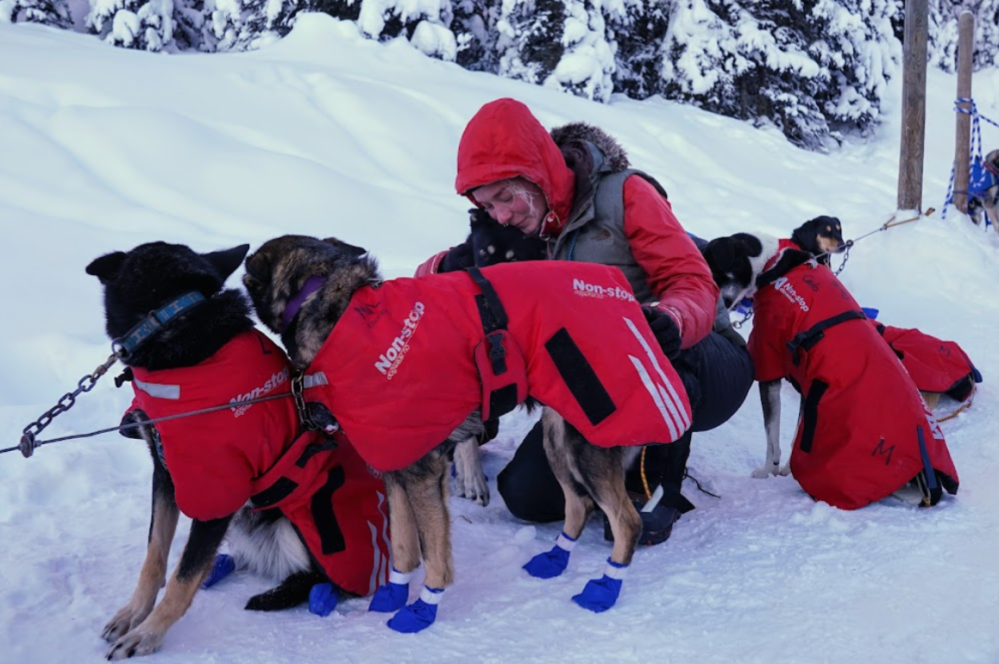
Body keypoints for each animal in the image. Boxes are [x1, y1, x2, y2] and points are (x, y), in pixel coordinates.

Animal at [87, 243, 326, 660]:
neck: (172, 317)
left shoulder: (220, 490)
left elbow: (183, 577)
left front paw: (148, 634)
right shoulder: (165, 473)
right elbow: (155, 557)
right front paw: (134, 613)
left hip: (291, 524)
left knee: (315, 577)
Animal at [246, 235, 692, 632]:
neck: (336, 311)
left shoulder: (423, 474)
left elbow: (435, 554)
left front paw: (422, 610)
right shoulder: (396, 468)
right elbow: (403, 546)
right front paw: (391, 596)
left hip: (590, 443)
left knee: (626, 521)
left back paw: (605, 588)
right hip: (558, 441)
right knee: (578, 504)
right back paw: (555, 559)